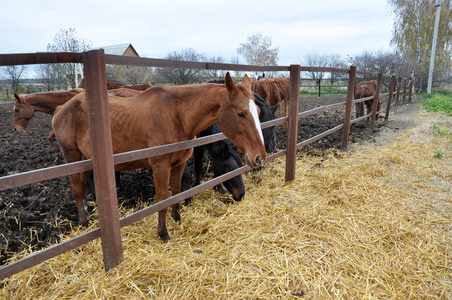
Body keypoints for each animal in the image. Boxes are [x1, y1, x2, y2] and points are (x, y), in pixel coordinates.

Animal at [52, 73, 266, 241]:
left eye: (258, 111)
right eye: (241, 113)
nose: (259, 156)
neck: (176, 115)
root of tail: (60, 109)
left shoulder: (179, 163)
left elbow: (177, 192)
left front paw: (177, 219)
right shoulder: (160, 167)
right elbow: (162, 198)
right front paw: (163, 232)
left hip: (84, 159)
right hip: (72, 156)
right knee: (77, 190)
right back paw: (83, 222)